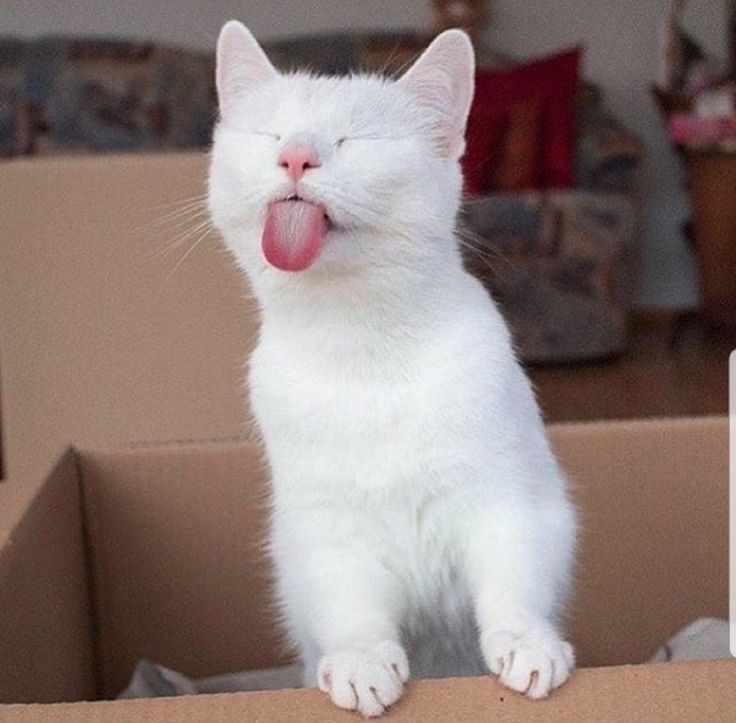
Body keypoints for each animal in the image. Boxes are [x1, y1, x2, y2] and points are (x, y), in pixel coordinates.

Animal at [207, 19, 576, 716]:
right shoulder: (326, 532)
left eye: (355, 139)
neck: (367, 354)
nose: (296, 156)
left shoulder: (508, 499)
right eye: (270, 133)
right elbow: (350, 606)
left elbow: (513, 574)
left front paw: (526, 641)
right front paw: (360, 660)